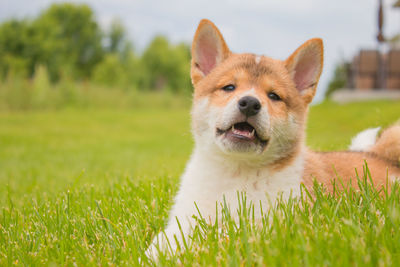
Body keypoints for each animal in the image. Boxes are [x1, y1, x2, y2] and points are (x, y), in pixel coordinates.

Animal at [147, 19, 400, 260]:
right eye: (229, 87)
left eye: (274, 96)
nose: (250, 103)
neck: (235, 173)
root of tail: (382, 157)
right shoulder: (185, 217)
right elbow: (164, 240)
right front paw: (155, 254)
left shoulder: (265, 225)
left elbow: (216, 237)